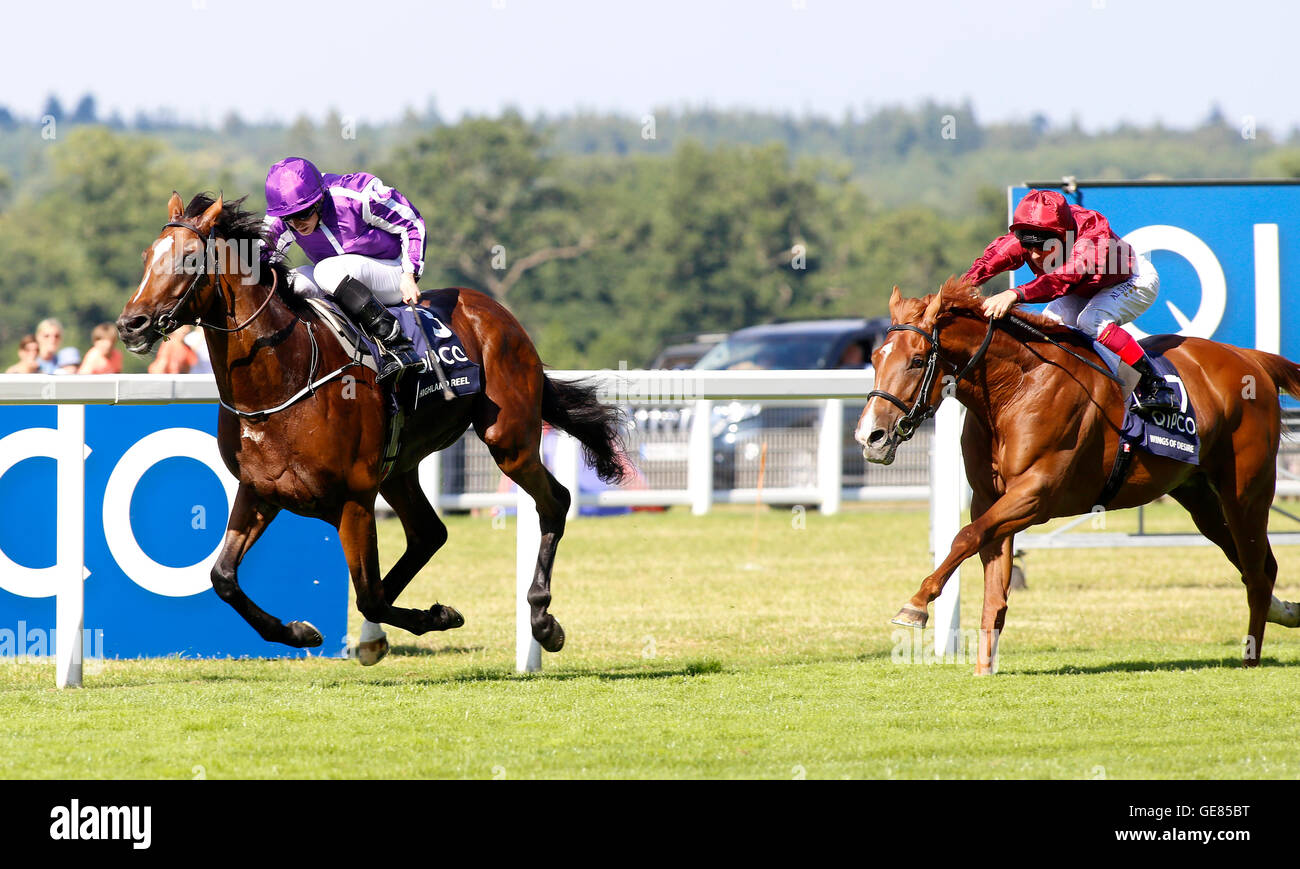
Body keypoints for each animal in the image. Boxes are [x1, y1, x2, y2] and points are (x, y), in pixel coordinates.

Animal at [116, 193, 624, 660]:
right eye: (145, 256)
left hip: (508, 440)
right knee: (429, 534)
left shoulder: (354, 499)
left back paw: (543, 620)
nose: (130, 324)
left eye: (188, 257)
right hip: (399, 467)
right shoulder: (259, 489)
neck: (282, 379)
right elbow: (223, 578)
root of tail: (495, 310)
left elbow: (369, 595)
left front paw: (438, 616)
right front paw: (300, 632)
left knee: (554, 502)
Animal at [852, 277, 1300, 671]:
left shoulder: (1037, 495)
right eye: (874, 359)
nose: (870, 435)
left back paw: (1251, 656)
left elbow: (963, 536)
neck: (1015, 387)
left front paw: (915, 605)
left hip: (1245, 492)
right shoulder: (991, 499)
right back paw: (1285, 612)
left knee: (1258, 571)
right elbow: (992, 581)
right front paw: (983, 667)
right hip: (1200, 498)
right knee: (1256, 565)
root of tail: (1251, 359)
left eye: (915, 361)